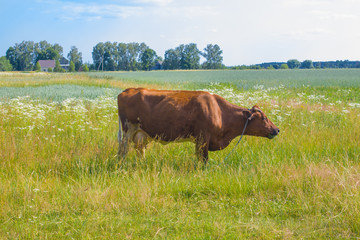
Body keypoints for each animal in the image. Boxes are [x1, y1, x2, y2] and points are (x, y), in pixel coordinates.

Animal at [116, 87, 280, 162]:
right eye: (264, 118)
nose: (277, 129)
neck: (220, 111)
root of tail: (128, 90)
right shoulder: (202, 138)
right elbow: (203, 159)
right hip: (127, 131)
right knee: (123, 151)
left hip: (141, 135)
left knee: (140, 150)